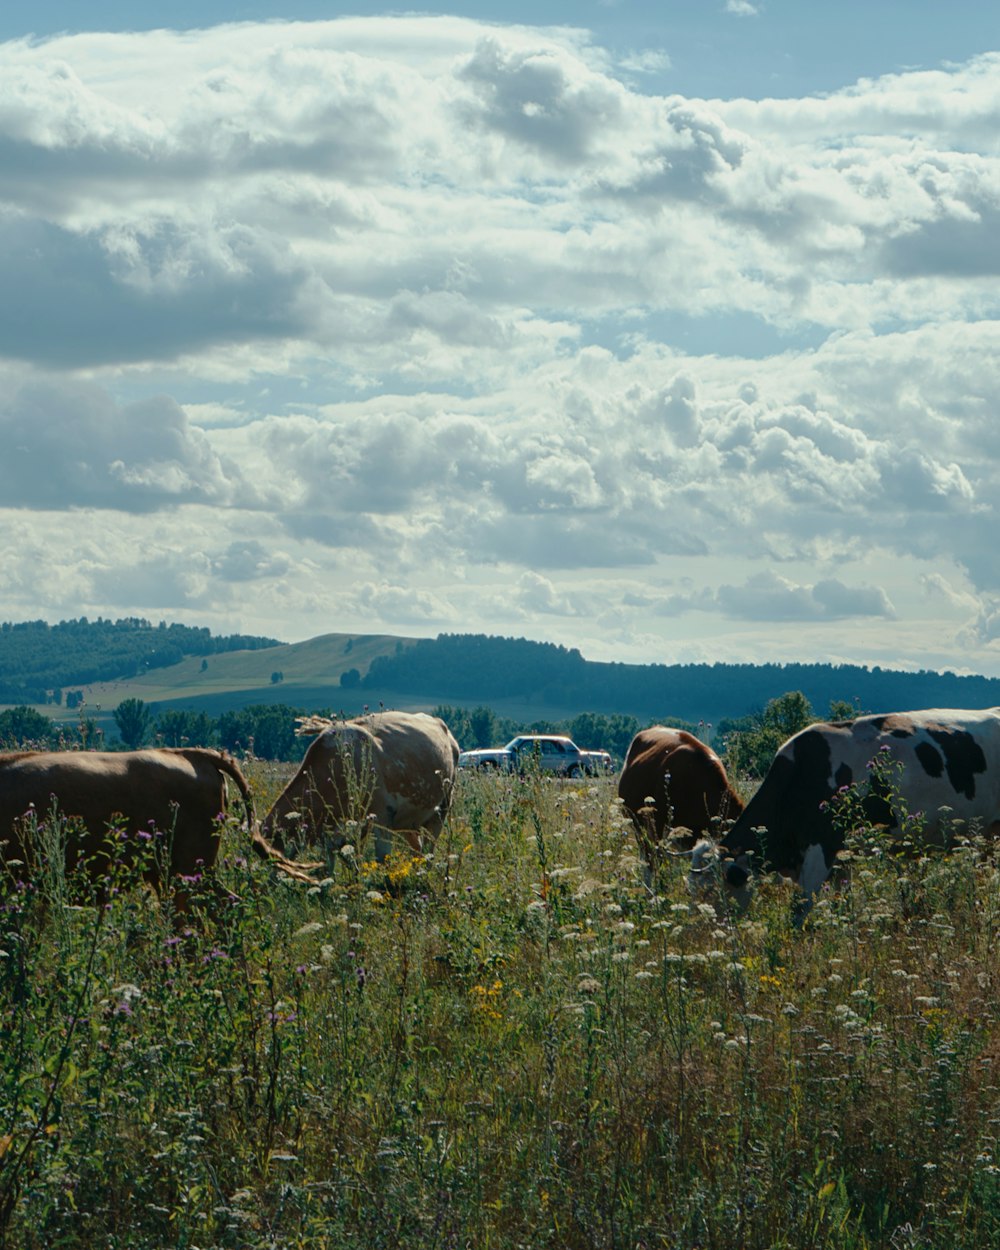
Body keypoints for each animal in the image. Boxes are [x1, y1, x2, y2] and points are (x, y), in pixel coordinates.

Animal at [260, 715, 460, 860]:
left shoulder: (382, 817)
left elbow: (381, 859)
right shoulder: (335, 831)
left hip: (441, 809)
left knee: (429, 847)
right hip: (408, 820)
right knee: (417, 848)